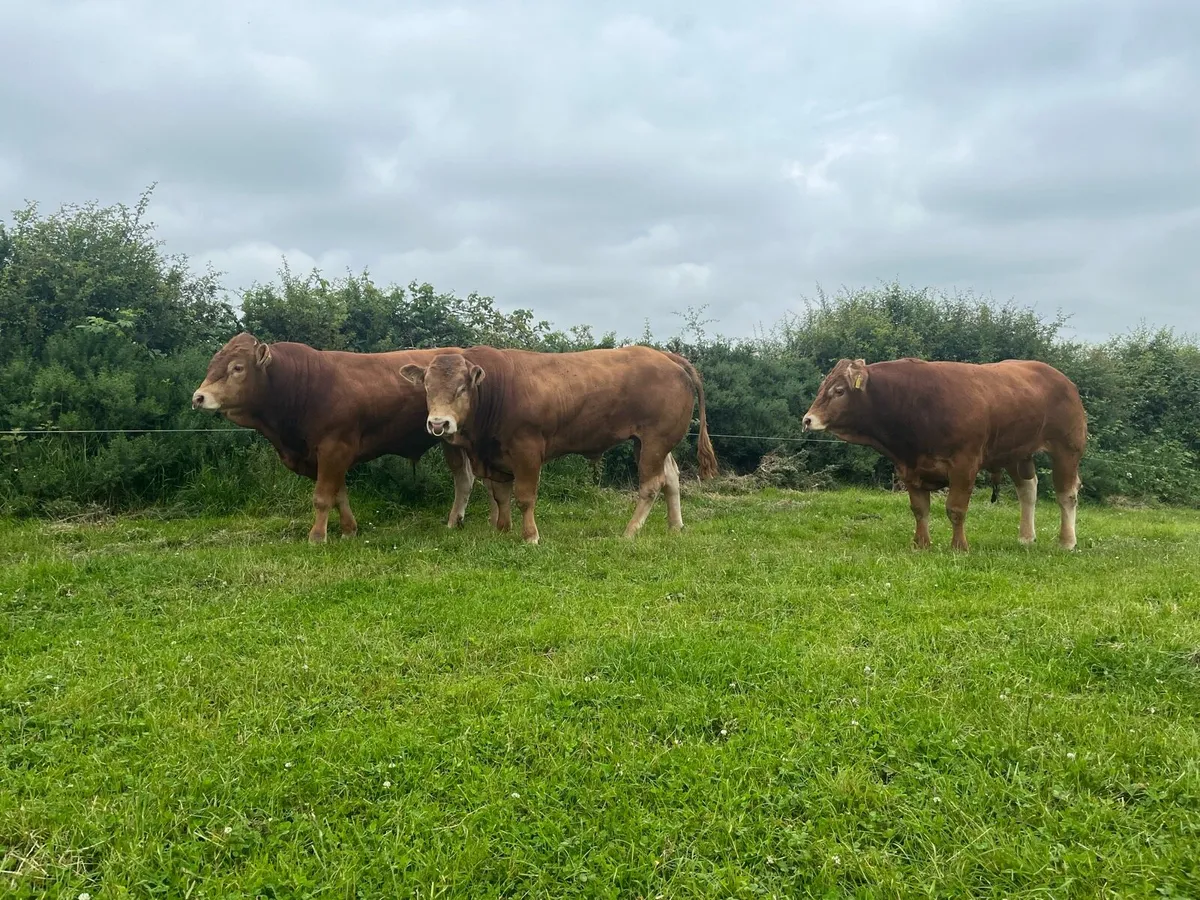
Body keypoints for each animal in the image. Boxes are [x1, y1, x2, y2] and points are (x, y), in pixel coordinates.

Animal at [191, 332, 478, 543]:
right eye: (211, 365)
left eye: (237, 367)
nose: (198, 397)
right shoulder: (327, 457)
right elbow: (339, 494)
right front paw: (349, 530)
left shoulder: (334, 448)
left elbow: (322, 497)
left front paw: (317, 537)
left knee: (462, 479)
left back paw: (453, 520)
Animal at [398, 344, 718, 544]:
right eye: (426, 387)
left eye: (462, 388)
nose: (438, 424)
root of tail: (665, 355)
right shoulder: (495, 456)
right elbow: (501, 496)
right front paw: (502, 530)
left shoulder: (526, 451)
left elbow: (524, 497)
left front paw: (530, 536)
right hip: (652, 442)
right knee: (671, 478)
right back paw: (675, 526)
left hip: (654, 440)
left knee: (651, 485)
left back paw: (630, 531)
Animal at [801, 357, 1087, 552]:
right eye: (822, 387)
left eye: (839, 391)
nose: (807, 419)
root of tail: (1062, 378)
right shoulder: (909, 468)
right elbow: (919, 509)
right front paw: (921, 543)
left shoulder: (964, 465)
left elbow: (956, 509)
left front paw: (959, 547)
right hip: (1018, 453)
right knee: (1028, 490)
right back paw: (1026, 537)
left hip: (1067, 448)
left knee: (1067, 495)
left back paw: (1067, 541)